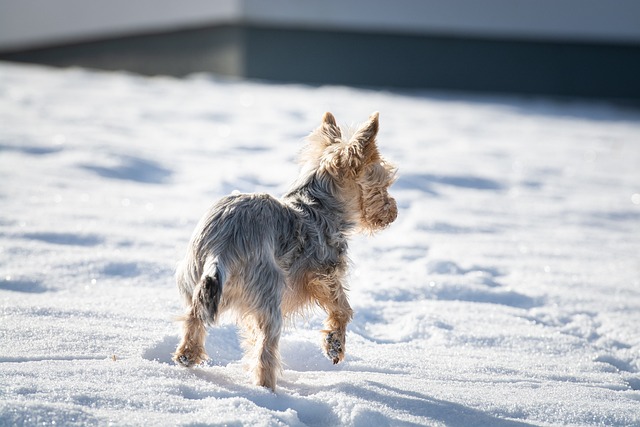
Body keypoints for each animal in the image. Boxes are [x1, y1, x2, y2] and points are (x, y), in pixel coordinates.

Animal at [172, 111, 398, 392]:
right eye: (383, 184)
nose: (393, 211)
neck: (319, 205)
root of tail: (222, 246)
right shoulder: (323, 273)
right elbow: (342, 307)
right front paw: (334, 344)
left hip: (195, 277)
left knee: (194, 317)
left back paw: (187, 355)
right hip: (269, 292)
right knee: (266, 348)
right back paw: (268, 390)